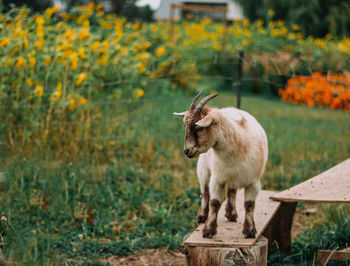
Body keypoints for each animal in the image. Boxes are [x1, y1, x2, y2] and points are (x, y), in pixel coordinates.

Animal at [174, 90, 268, 238]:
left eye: (198, 128)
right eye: (185, 126)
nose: (187, 151)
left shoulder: (253, 182)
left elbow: (249, 205)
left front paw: (250, 231)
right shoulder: (217, 179)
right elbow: (214, 202)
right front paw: (209, 230)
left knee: (231, 191)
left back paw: (232, 214)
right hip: (204, 170)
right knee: (205, 192)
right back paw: (202, 216)